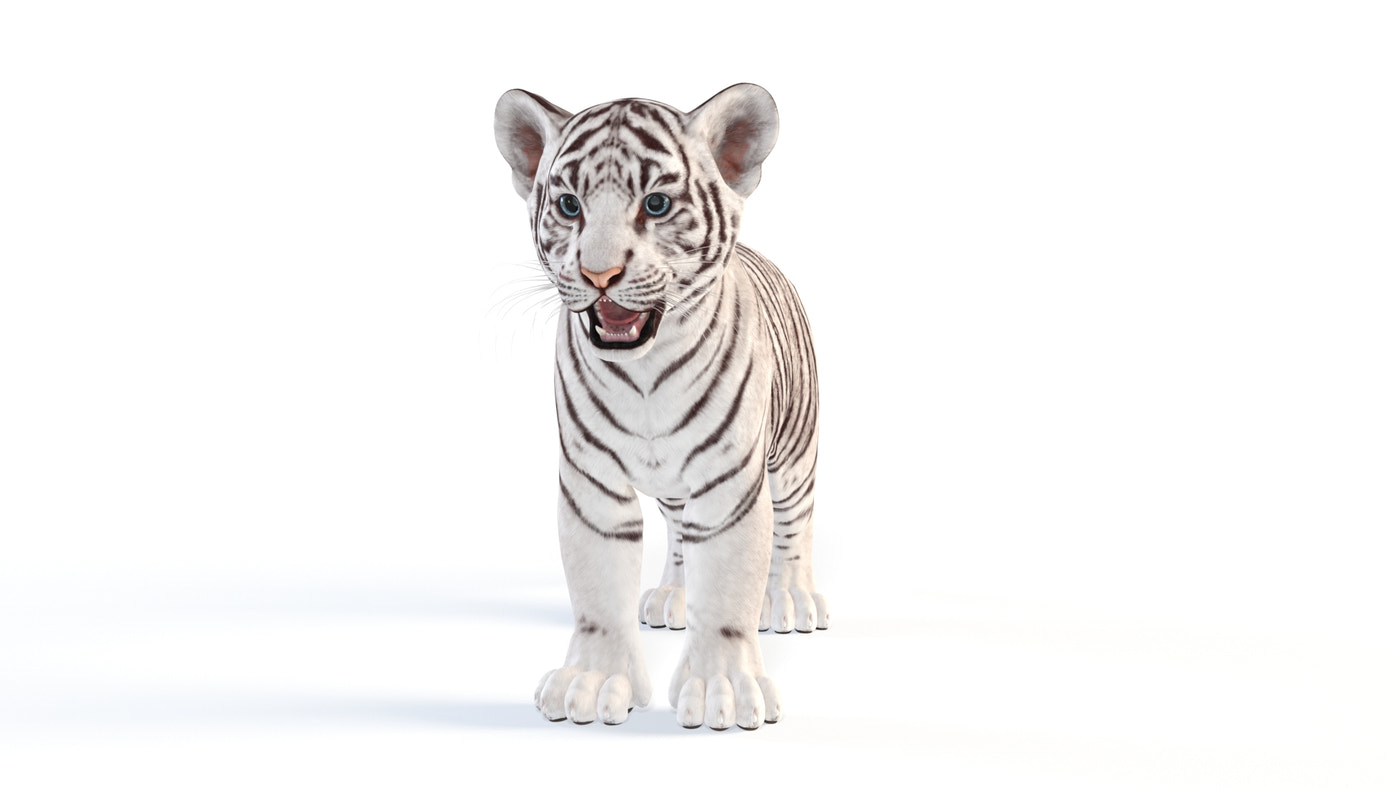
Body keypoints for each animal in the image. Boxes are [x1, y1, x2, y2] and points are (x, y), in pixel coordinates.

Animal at [493, 83, 826, 730]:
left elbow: (729, 589)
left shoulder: (729, 484)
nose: (599, 274)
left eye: (657, 204)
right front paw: (594, 682)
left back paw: (792, 599)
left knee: (795, 521)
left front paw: (723, 689)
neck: (643, 373)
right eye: (569, 205)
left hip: (794, 451)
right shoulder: (591, 484)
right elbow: (598, 592)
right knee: (678, 532)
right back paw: (674, 596)